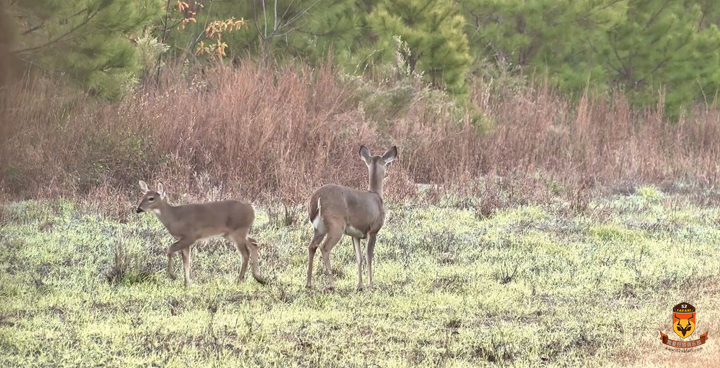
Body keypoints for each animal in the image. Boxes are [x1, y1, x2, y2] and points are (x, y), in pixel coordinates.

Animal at [134, 181, 266, 288]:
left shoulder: (189, 237)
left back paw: (240, 280)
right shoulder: (185, 241)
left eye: (151, 198)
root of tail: (252, 208)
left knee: (245, 253)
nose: (138, 209)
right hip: (234, 234)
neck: (174, 218)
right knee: (254, 243)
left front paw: (173, 276)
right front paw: (187, 283)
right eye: (142, 196)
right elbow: (186, 262)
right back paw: (259, 278)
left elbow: (170, 249)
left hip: (238, 232)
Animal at [302, 145, 396, 292]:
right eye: (386, 164)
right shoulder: (373, 229)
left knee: (312, 246)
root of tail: (316, 198)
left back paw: (309, 283)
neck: (376, 196)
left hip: (319, 227)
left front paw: (360, 286)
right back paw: (332, 284)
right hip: (336, 225)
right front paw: (370, 285)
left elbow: (359, 258)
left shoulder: (355, 235)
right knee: (325, 248)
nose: (387, 174)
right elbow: (369, 256)